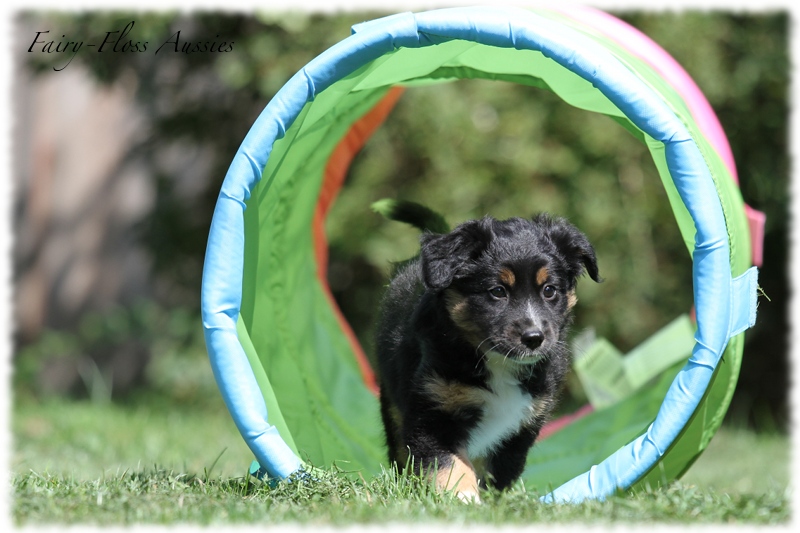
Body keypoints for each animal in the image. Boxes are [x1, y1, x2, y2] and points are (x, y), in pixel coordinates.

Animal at [376, 202, 600, 500]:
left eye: (549, 290)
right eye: (497, 291)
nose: (534, 338)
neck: (498, 364)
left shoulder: (519, 429)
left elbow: (496, 476)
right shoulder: (431, 413)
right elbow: (450, 467)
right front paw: (464, 500)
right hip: (393, 405)